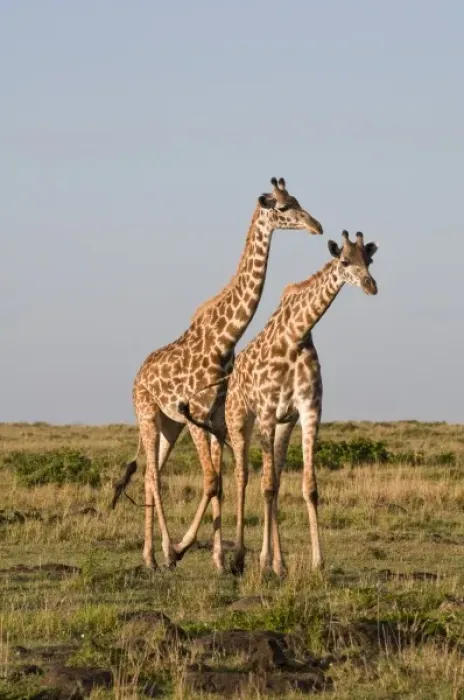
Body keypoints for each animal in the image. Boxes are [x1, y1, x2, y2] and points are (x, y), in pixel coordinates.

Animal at [113, 178, 324, 572]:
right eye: (283, 207)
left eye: (298, 199)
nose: (316, 226)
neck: (225, 339)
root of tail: (138, 374)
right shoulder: (196, 413)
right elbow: (211, 481)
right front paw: (181, 550)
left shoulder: (216, 417)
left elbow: (221, 482)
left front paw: (219, 560)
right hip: (147, 413)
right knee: (153, 476)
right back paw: (160, 553)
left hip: (170, 425)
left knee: (151, 475)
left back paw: (150, 555)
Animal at [224, 230, 379, 577]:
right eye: (344, 261)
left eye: (370, 260)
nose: (371, 286)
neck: (296, 335)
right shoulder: (267, 411)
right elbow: (265, 485)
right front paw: (258, 561)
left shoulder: (308, 410)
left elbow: (308, 487)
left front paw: (316, 562)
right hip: (239, 418)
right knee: (244, 476)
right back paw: (240, 558)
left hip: (284, 424)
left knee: (275, 478)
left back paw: (273, 562)